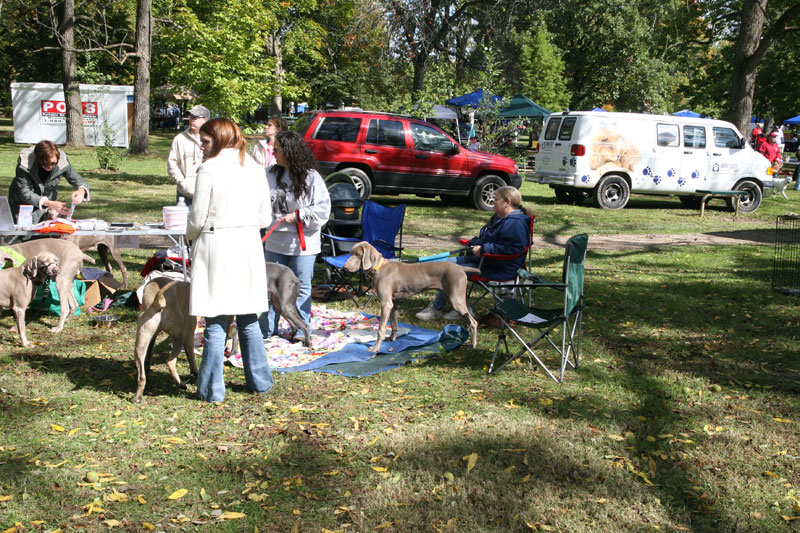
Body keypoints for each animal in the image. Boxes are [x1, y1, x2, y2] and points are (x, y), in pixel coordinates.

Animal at [342, 241, 478, 354]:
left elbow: (381, 329)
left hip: (455, 298)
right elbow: (394, 324)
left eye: (358, 255)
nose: (344, 268)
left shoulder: (386, 303)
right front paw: (392, 339)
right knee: (468, 319)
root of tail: (460, 267)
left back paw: (473, 345)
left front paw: (375, 348)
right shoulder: (394, 302)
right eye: (350, 253)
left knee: (473, 322)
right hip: (451, 296)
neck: (379, 268)